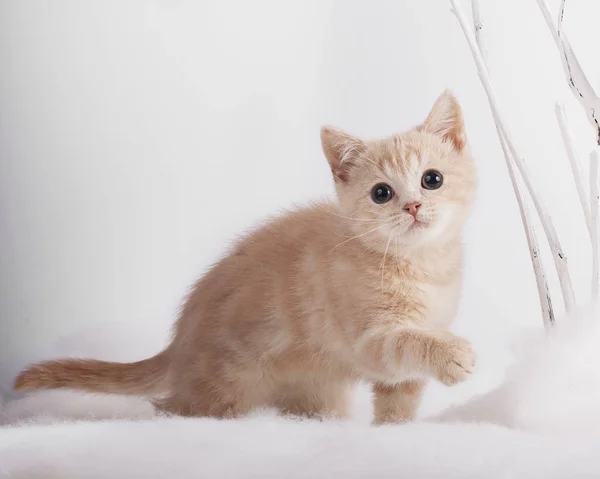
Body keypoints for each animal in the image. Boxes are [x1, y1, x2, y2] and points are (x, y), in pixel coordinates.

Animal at [14, 90, 478, 424]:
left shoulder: (411, 353)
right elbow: (405, 342)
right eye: (381, 193)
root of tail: (177, 345)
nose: (413, 206)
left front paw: (394, 431)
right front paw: (454, 356)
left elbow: (400, 398)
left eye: (431, 179)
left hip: (312, 386)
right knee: (174, 407)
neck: (422, 267)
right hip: (226, 386)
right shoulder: (367, 338)